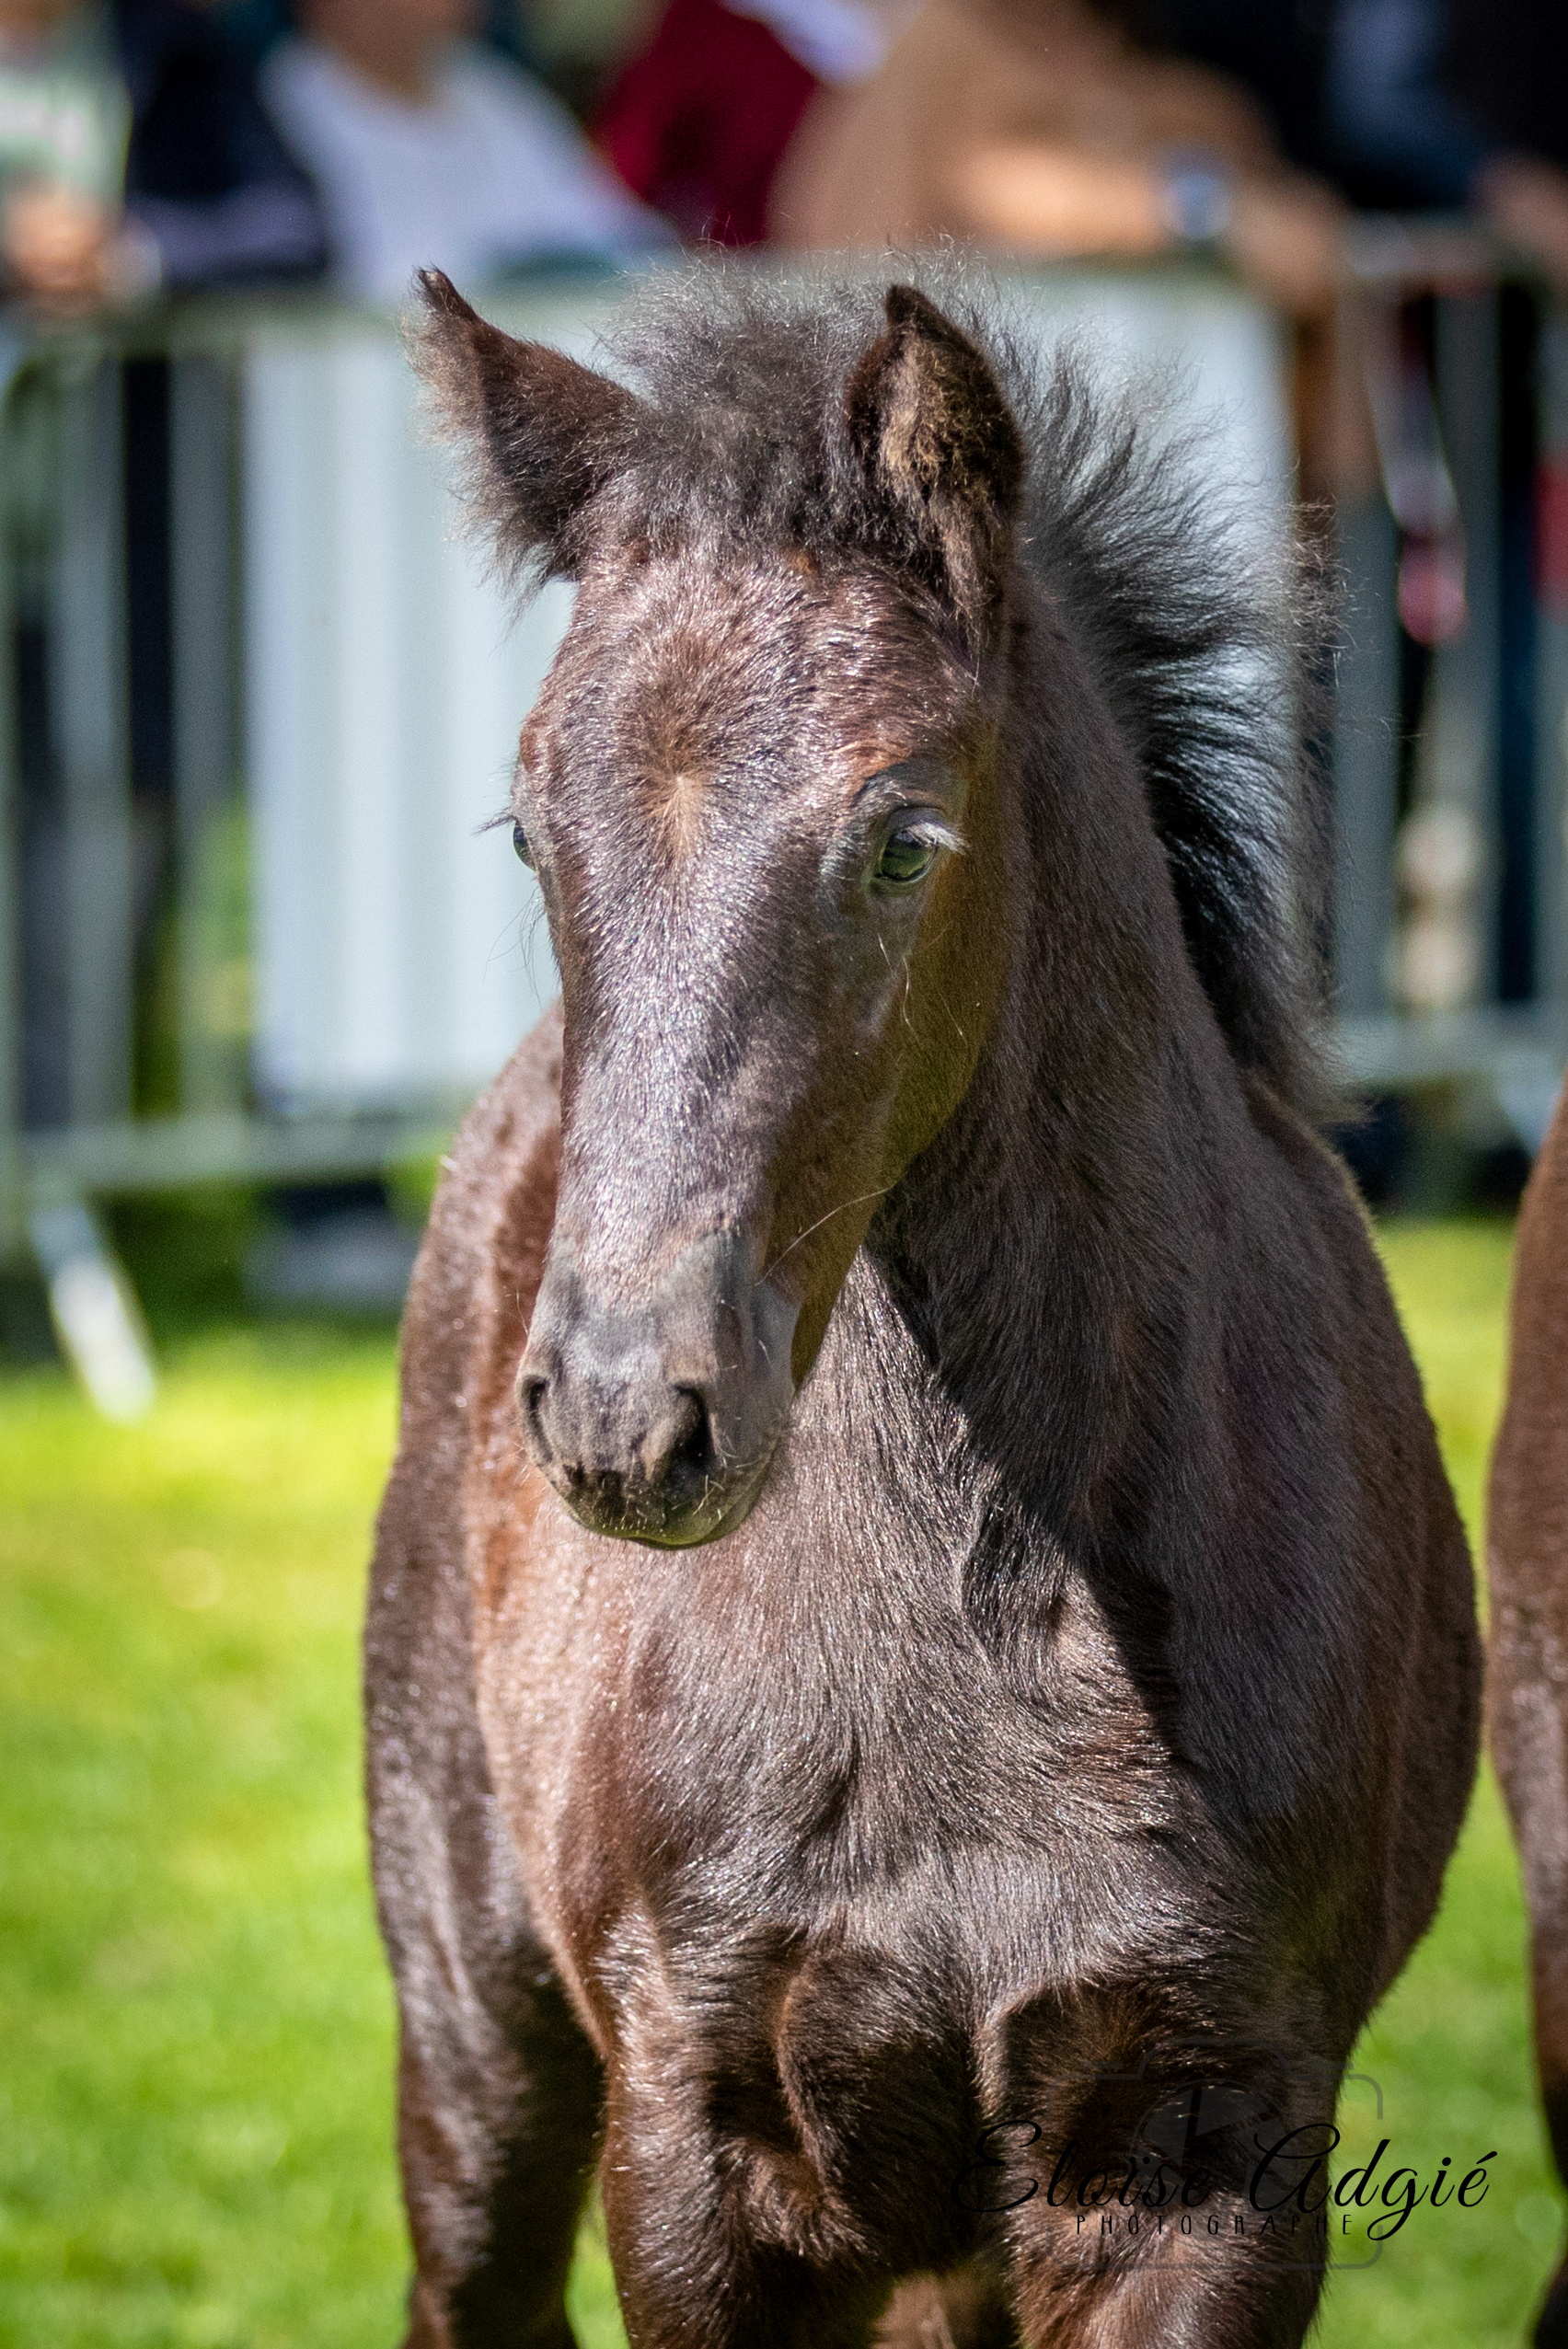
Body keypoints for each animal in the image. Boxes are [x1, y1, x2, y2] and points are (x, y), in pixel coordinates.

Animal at [366, 263, 1482, 2348]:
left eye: (900, 836)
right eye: (530, 830)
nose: (627, 1411)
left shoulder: (1208, 2151)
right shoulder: (698, 2143)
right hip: (473, 2015)